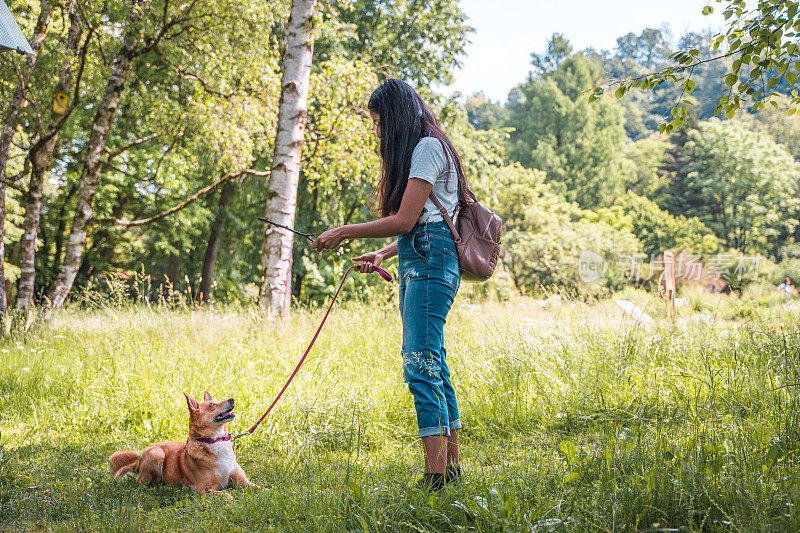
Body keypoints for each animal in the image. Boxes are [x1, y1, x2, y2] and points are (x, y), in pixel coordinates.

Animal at [109, 390, 258, 498]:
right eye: (211, 405)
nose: (232, 399)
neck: (216, 440)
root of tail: (139, 459)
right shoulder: (201, 488)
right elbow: (227, 495)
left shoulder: (244, 482)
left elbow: (260, 488)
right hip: (156, 453)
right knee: (144, 484)